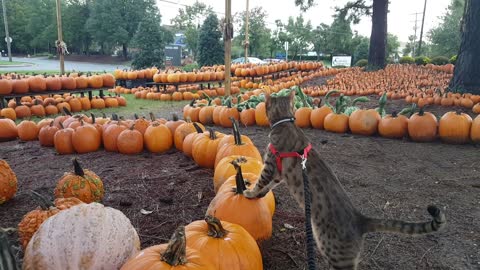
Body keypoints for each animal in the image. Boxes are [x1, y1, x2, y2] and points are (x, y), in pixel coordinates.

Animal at [244, 91, 446, 270]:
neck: (285, 122)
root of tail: (360, 220)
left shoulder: (271, 165)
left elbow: (261, 181)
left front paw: (249, 192)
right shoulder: (279, 173)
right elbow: (269, 186)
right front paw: (259, 194)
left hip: (336, 255)